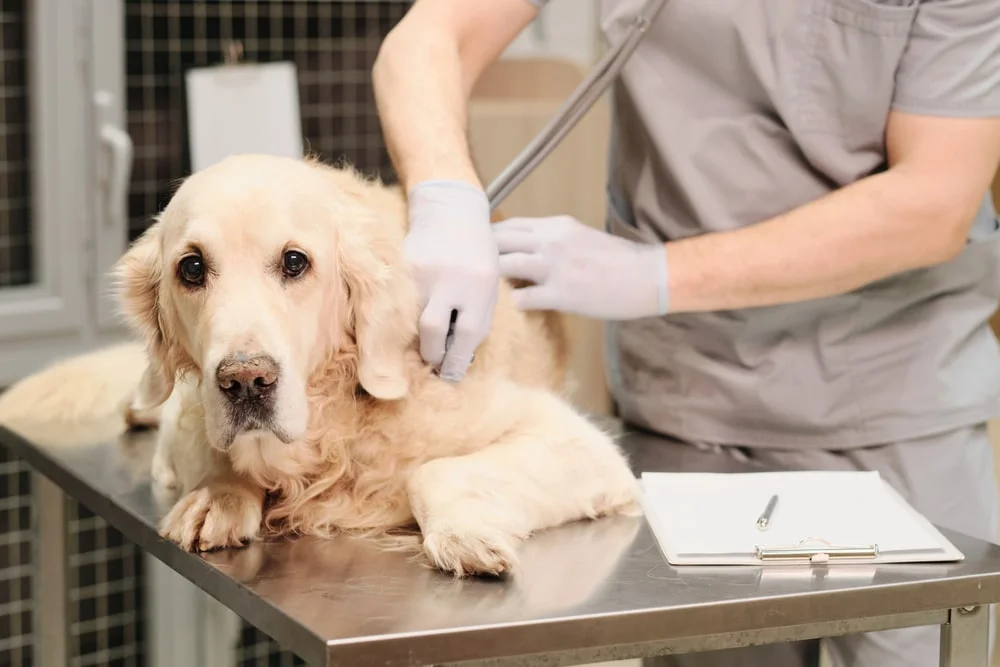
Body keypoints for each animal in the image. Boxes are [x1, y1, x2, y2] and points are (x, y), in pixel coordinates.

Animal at [0, 154, 640, 576]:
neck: (333, 427)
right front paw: (220, 493)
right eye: (191, 267)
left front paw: (464, 534)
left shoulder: (575, 441)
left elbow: (432, 472)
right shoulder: (186, 427)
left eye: (294, 262)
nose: (246, 381)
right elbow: (210, 453)